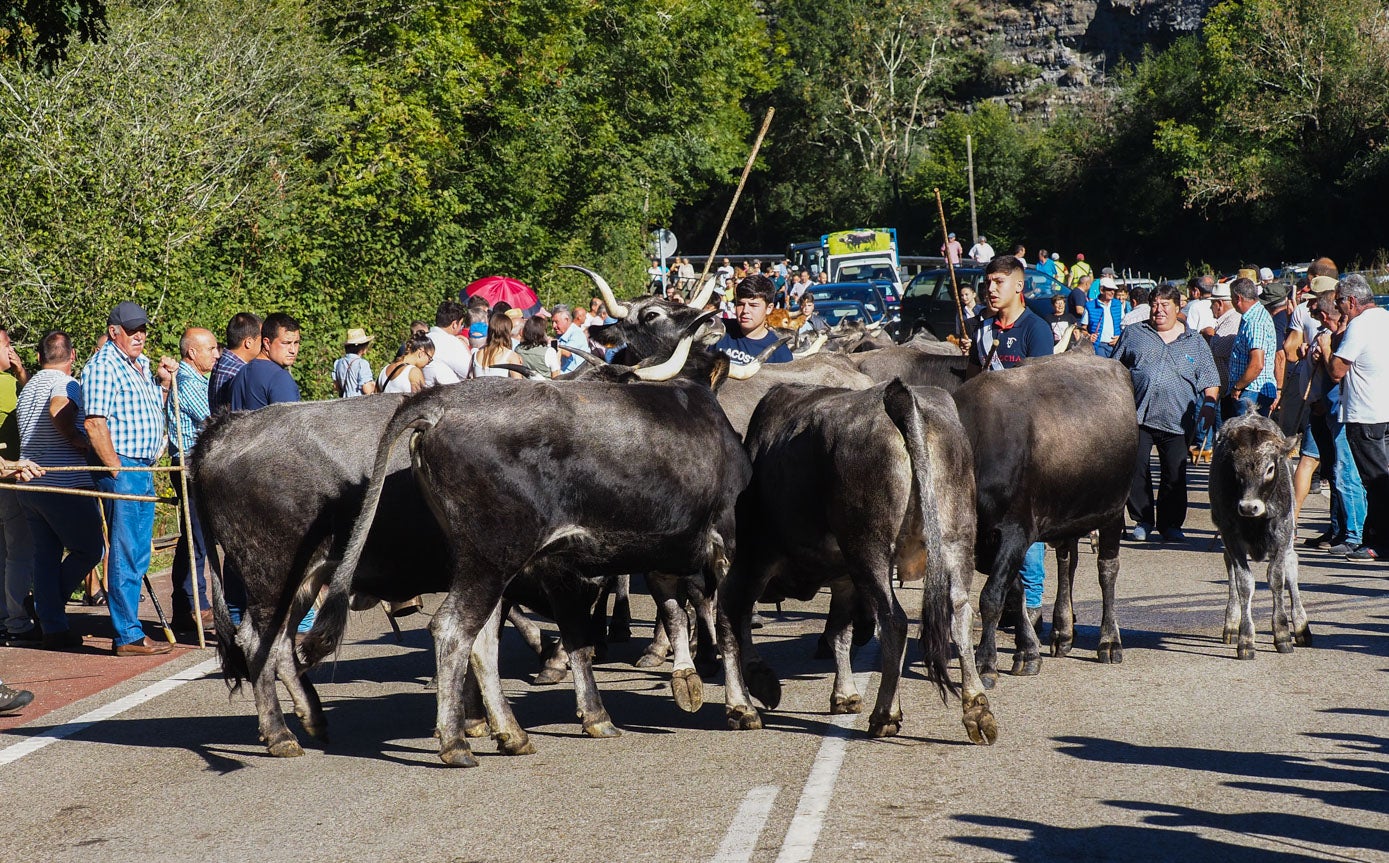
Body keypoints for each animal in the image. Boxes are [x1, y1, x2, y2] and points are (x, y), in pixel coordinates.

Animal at [305, 348, 755, 761]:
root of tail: (440, 404)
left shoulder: (661, 551)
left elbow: (671, 611)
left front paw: (684, 680)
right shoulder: (726, 546)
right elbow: (723, 622)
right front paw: (740, 705)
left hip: (484, 564)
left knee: (483, 640)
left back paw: (511, 733)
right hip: (493, 557)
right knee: (452, 629)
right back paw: (454, 742)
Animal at [716, 380, 1000, 744]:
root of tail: (900, 395)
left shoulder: (753, 559)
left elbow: (729, 621)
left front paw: (741, 705)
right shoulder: (843, 577)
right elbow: (839, 630)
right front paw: (845, 694)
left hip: (869, 550)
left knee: (893, 621)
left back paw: (885, 714)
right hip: (955, 538)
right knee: (960, 612)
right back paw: (977, 707)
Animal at [955, 350, 1138, 686]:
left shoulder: (1014, 531)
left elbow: (991, 597)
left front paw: (985, 663)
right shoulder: (988, 543)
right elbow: (1015, 590)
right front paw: (1027, 651)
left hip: (1112, 510)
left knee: (1107, 570)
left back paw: (1109, 641)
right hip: (1067, 514)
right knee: (1067, 561)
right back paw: (1063, 632)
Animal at [1205, 411, 1311, 658]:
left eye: (1270, 468)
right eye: (1236, 470)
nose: (1248, 507)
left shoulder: (1282, 536)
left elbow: (1277, 580)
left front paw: (1282, 634)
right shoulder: (1232, 538)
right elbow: (1244, 583)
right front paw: (1246, 638)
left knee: (1292, 566)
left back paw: (1302, 626)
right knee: (1230, 566)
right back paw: (1231, 624)